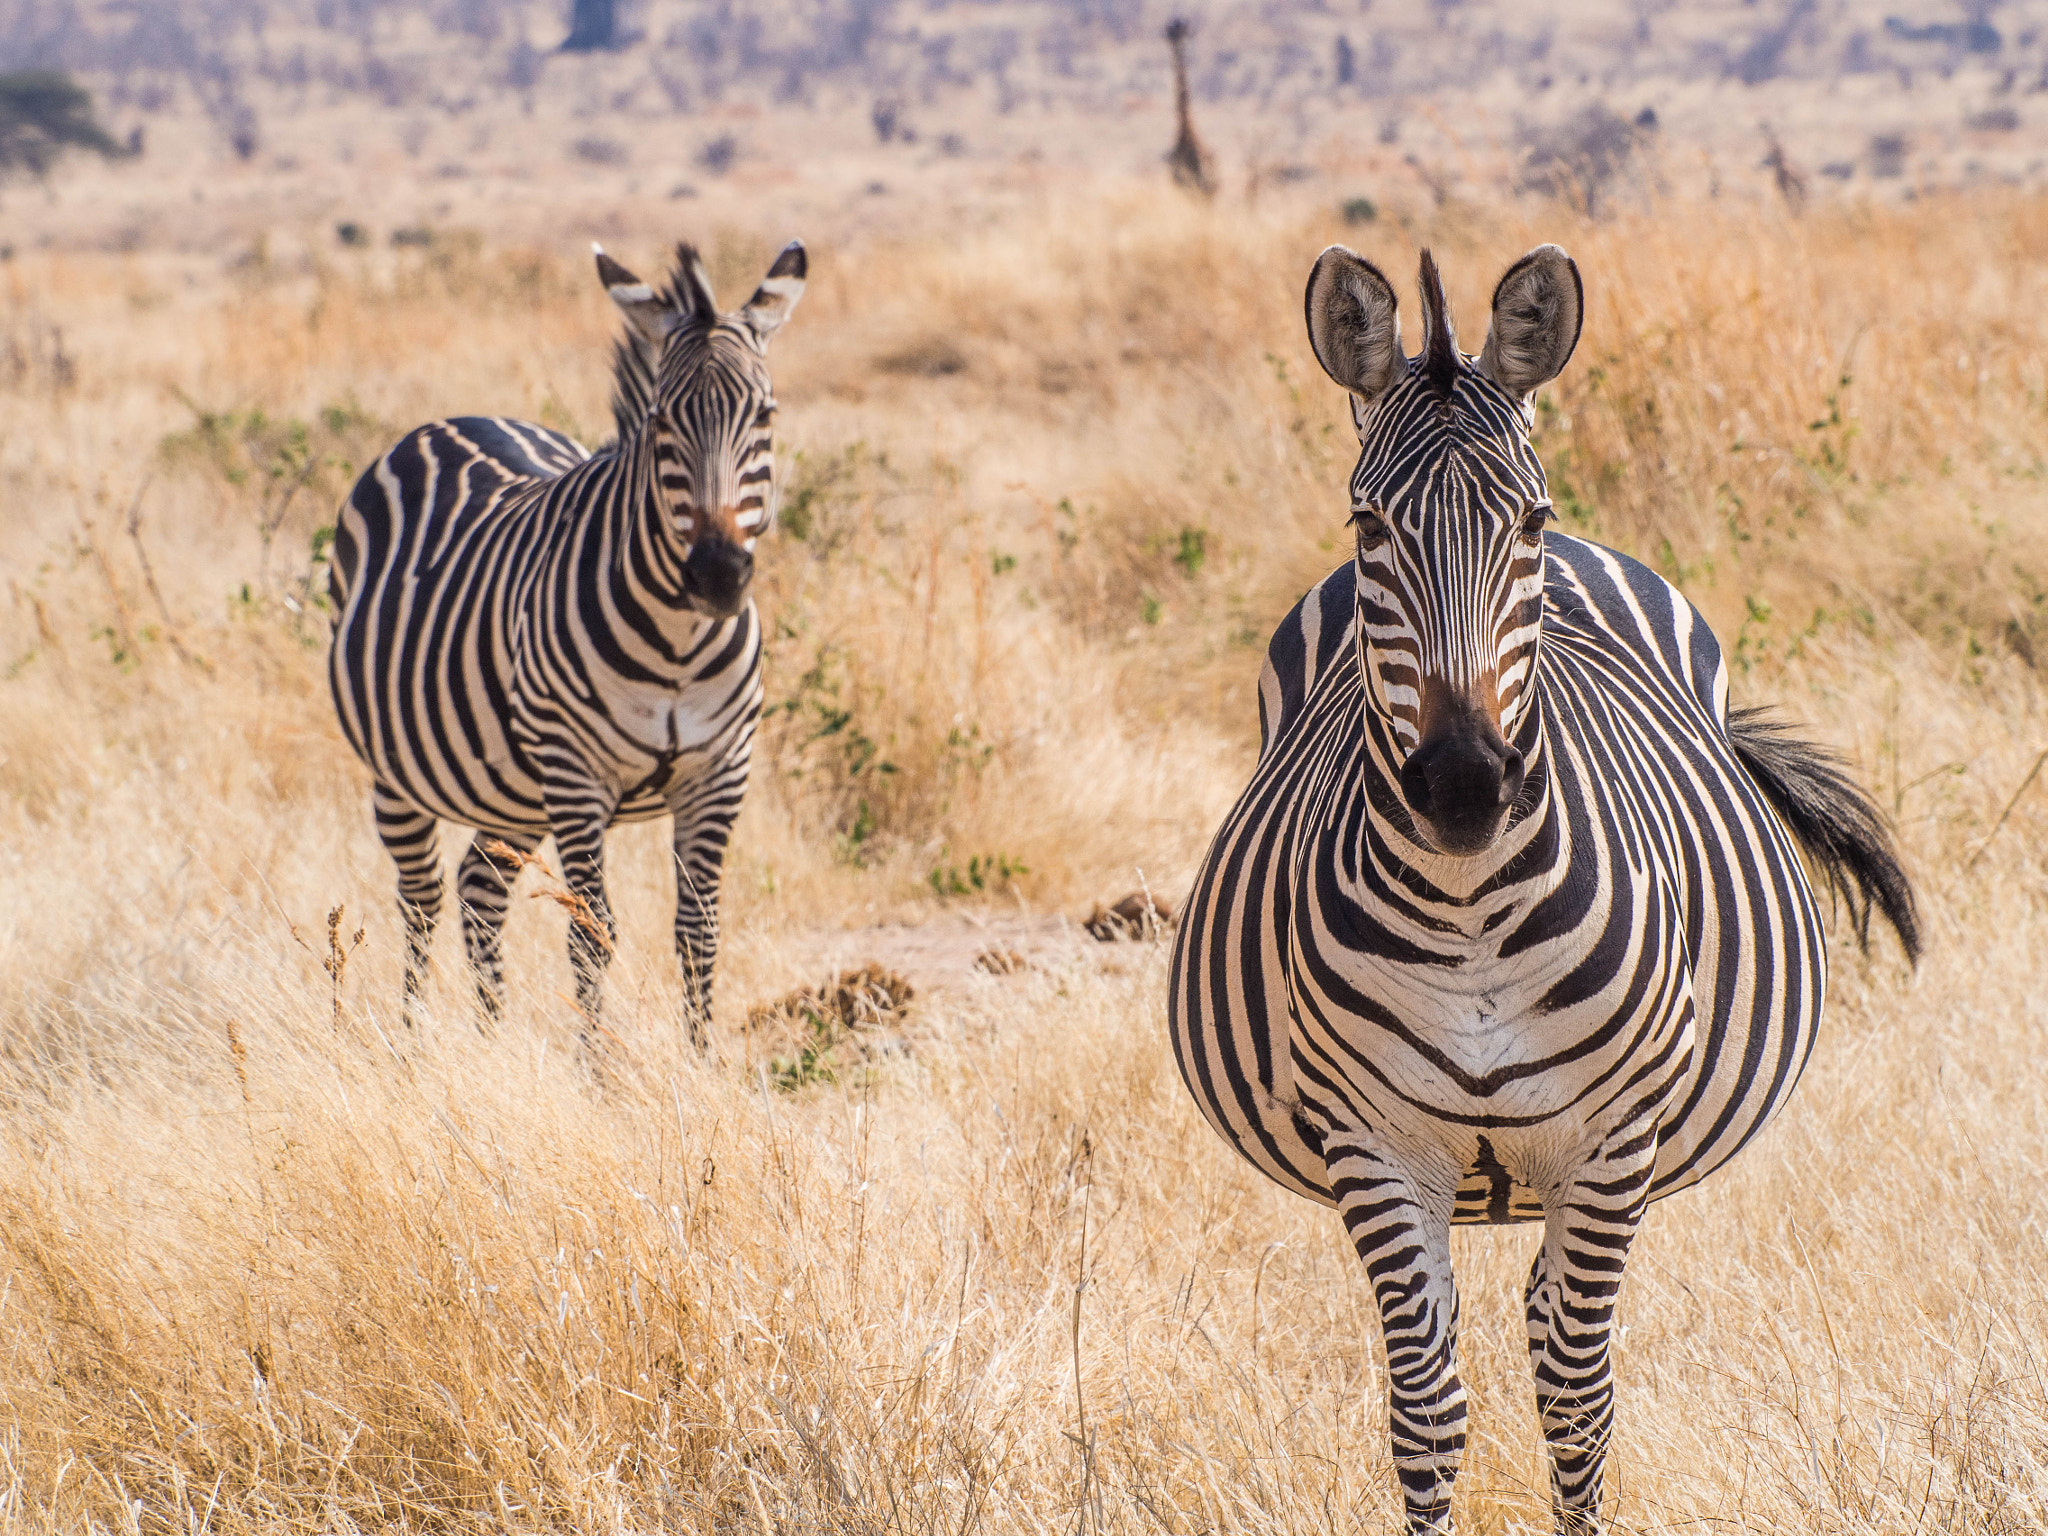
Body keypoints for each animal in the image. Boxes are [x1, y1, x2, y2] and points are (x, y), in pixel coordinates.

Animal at [327, 240, 806, 1041]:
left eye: (765, 415)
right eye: (662, 421)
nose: (717, 574)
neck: (678, 642)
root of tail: (455, 419)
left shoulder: (720, 771)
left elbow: (699, 931)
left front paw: (702, 1061)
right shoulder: (578, 774)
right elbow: (592, 932)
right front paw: (599, 1069)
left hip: (513, 792)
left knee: (477, 890)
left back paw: (491, 1042)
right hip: (400, 772)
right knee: (421, 899)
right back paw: (413, 1045)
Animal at [1168, 245, 1918, 1535]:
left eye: (1527, 519)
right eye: (1367, 523)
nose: (1464, 787)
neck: (1469, 908)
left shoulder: (1609, 1143)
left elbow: (1576, 1401)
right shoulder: (1375, 1148)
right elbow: (1424, 1413)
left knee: (1553, 1338)